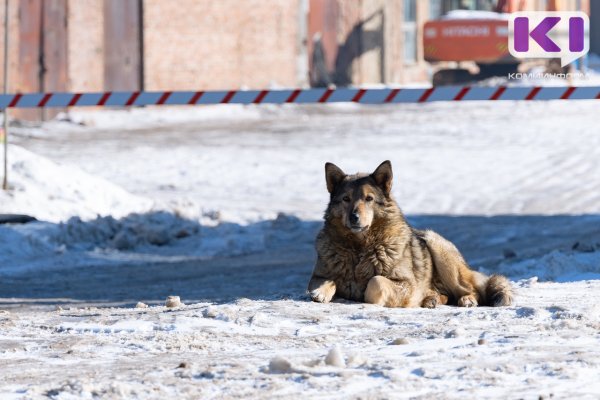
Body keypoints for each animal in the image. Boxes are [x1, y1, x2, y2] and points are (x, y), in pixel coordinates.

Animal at [310, 161, 510, 308]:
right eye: (346, 199)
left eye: (369, 199)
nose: (354, 217)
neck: (359, 248)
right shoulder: (318, 275)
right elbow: (327, 280)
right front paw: (320, 292)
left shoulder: (405, 283)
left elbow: (376, 281)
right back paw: (431, 299)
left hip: (438, 248)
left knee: (471, 290)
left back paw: (466, 299)